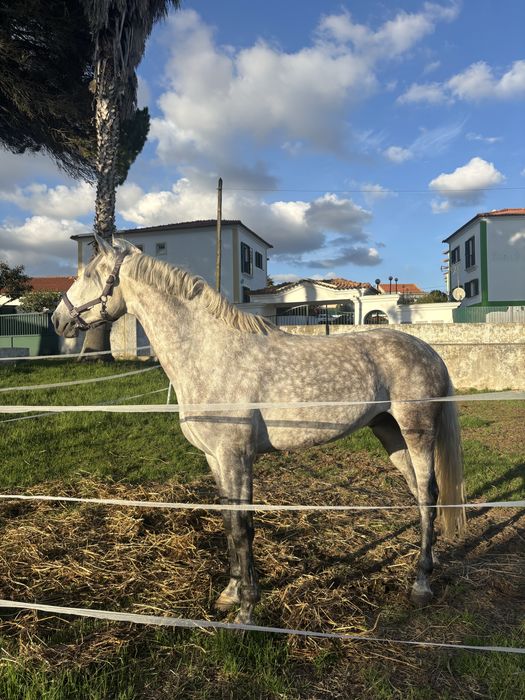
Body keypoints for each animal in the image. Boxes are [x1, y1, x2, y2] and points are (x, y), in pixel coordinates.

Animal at [52, 235, 466, 625]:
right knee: (418, 494)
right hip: (389, 433)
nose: (58, 320)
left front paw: (247, 610)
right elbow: (228, 522)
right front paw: (230, 593)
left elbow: (243, 527)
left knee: (429, 494)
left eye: (88, 275)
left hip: (417, 432)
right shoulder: (215, 458)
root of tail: (430, 351)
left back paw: (421, 585)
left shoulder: (236, 456)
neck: (211, 353)